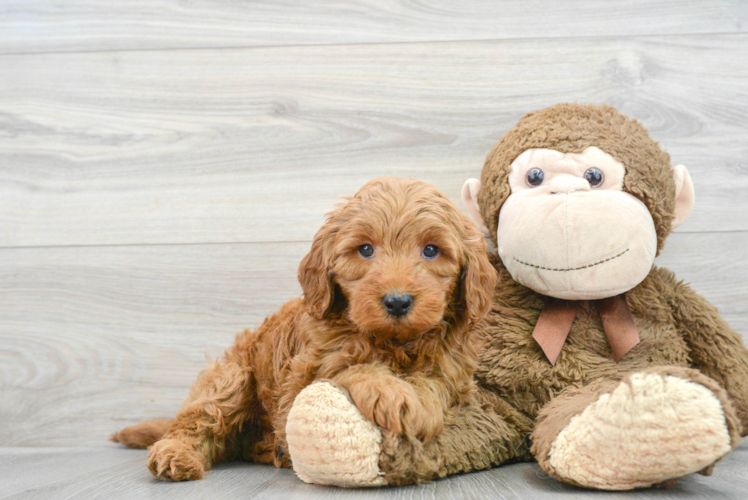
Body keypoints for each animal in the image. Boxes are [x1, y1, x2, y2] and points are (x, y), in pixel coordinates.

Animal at [112, 178, 496, 482]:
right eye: (365, 249)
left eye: (431, 250)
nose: (397, 302)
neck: (393, 343)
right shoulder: (303, 375)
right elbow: (350, 367)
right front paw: (392, 392)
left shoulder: (454, 369)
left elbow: (436, 382)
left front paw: (420, 401)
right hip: (231, 377)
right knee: (198, 419)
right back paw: (176, 454)